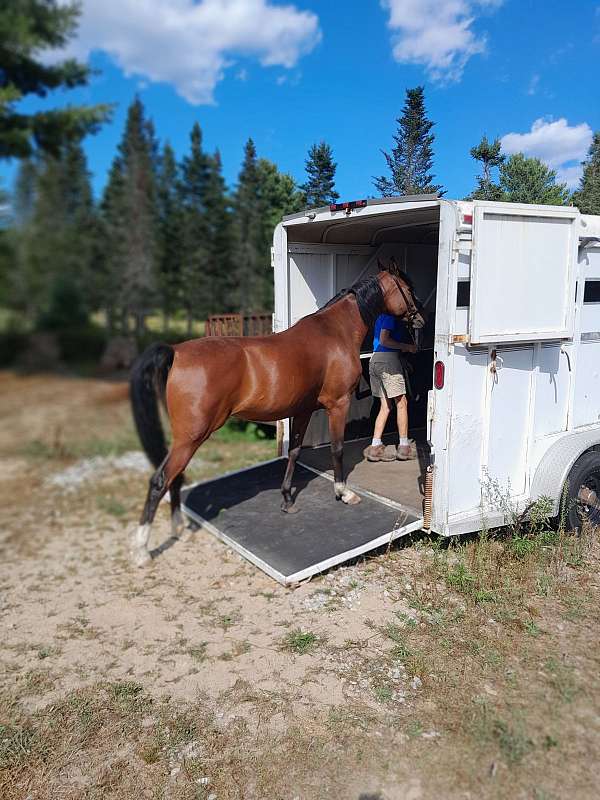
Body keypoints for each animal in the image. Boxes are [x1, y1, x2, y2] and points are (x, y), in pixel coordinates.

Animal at [129, 268, 425, 567]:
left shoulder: (303, 411)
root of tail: (176, 351)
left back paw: (177, 529)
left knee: (175, 477)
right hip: (190, 438)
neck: (335, 333)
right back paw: (142, 551)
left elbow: (294, 451)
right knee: (160, 480)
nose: (420, 318)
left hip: (185, 439)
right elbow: (337, 449)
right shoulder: (338, 405)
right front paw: (344, 492)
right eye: (407, 288)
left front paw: (287, 500)